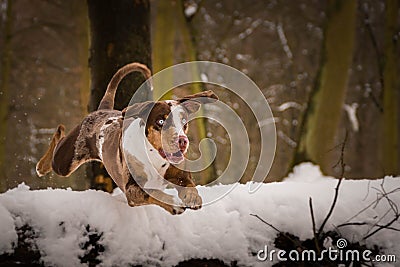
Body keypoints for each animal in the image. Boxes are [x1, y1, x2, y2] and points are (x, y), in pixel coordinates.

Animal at [36, 62, 219, 216]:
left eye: (184, 122)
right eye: (161, 121)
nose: (182, 141)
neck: (154, 157)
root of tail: (102, 110)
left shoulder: (180, 175)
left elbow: (189, 186)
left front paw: (192, 198)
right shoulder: (132, 188)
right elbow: (153, 192)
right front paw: (174, 203)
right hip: (66, 160)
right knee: (57, 141)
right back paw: (42, 164)